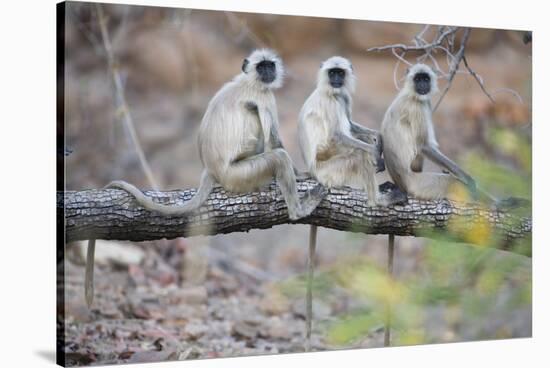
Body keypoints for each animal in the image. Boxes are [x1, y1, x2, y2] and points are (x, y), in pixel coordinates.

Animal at [83, 49, 326, 308]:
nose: (268, 72)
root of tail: (211, 169)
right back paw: (298, 210)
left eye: (270, 65)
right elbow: (275, 142)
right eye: (261, 67)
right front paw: (301, 175)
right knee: (274, 152)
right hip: (239, 173)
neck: (249, 82)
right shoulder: (265, 97)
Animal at [298, 56, 410, 350]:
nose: (337, 80)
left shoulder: (343, 98)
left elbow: (354, 124)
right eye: (332, 73)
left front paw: (378, 141)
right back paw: (377, 200)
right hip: (330, 169)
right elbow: (338, 134)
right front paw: (374, 151)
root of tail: (312, 173)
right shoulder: (332, 101)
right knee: (355, 155)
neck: (334, 92)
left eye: (340, 73)